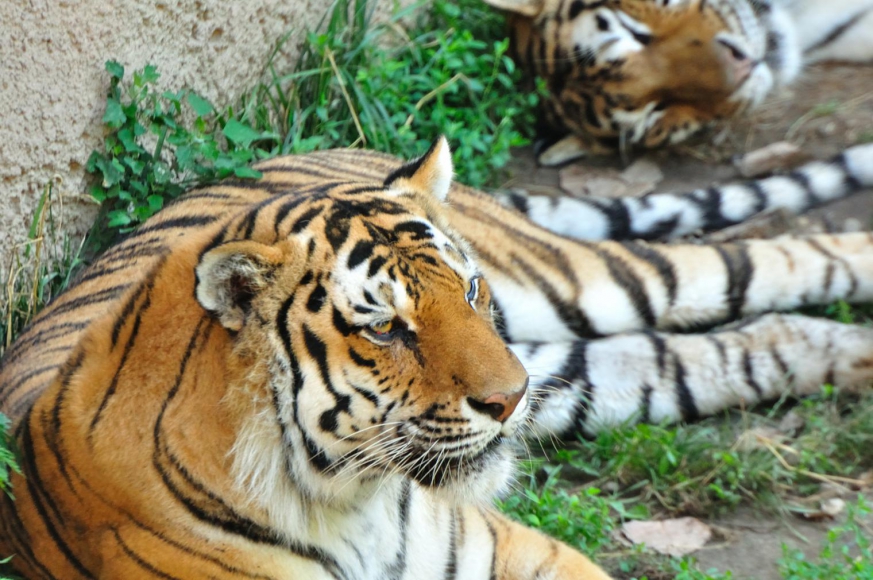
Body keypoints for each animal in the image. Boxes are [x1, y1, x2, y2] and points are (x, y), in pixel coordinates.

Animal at [3, 137, 873, 578]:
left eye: (471, 288)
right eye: (386, 328)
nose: (511, 397)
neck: (348, 505)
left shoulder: (528, 552)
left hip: (580, 283)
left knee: (774, 258)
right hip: (579, 370)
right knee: (740, 340)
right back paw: (854, 356)